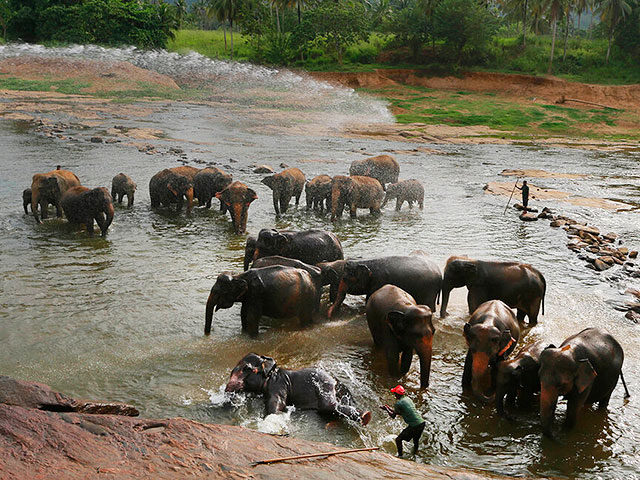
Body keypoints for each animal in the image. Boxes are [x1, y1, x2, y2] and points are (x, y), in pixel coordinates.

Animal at [228, 352, 372, 424]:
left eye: (247, 368)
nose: (228, 388)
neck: (272, 373)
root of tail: (338, 382)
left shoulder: (278, 384)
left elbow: (278, 403)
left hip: (325, 386)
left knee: (328, 406)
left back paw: (366, 416)